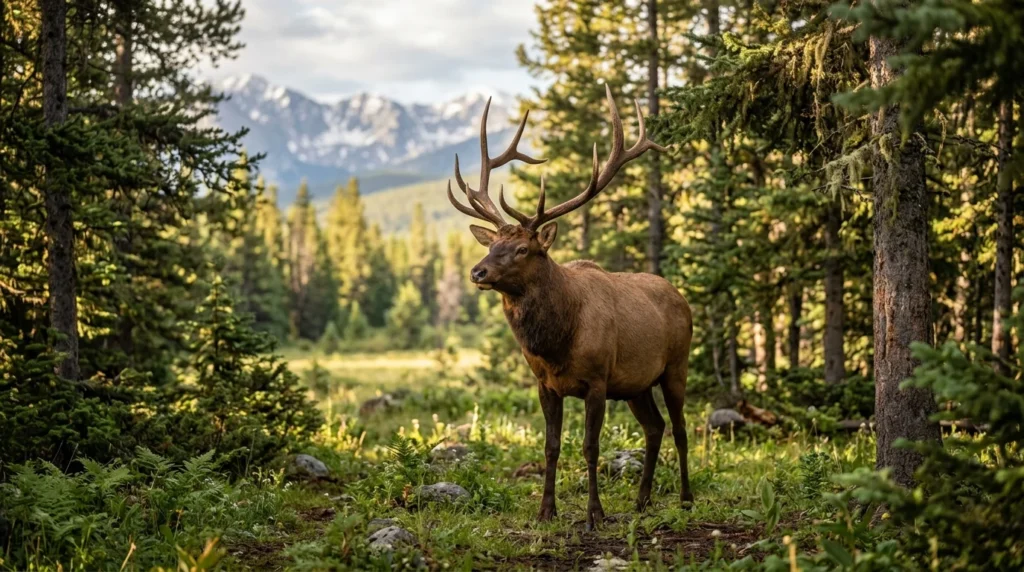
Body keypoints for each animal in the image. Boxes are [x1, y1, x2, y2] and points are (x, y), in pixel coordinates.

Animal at [446, 84, 694, 530]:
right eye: (492, 244)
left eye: (523, 249)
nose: (477, 271)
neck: (556, 342)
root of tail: (681, 298)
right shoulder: (545, 385)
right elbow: (551, 447)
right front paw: (546, 511)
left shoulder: (596, 381)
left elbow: (590, 448)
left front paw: (595, 513)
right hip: (635, 384)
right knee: (655, 427)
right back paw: (642, 499)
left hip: (675, 365)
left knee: (680, 428)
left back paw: (684, 498)